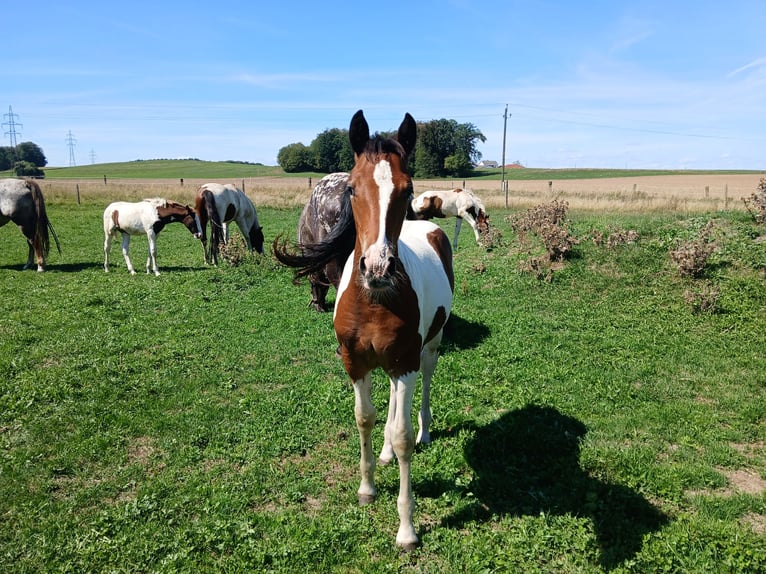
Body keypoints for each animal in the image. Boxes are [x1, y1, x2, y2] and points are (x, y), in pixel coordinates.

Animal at [274, 110, 454, 549]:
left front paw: (406, 529)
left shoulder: (406, 360)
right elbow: (364, 418)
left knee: (424, 384)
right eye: (353, 188)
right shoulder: (355, 362)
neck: (374, 300)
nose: (377, 267)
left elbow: (403, 435)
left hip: (428, 349)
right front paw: (368, 487)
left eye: (408, 190)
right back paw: (385, 453)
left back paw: (424, 432)